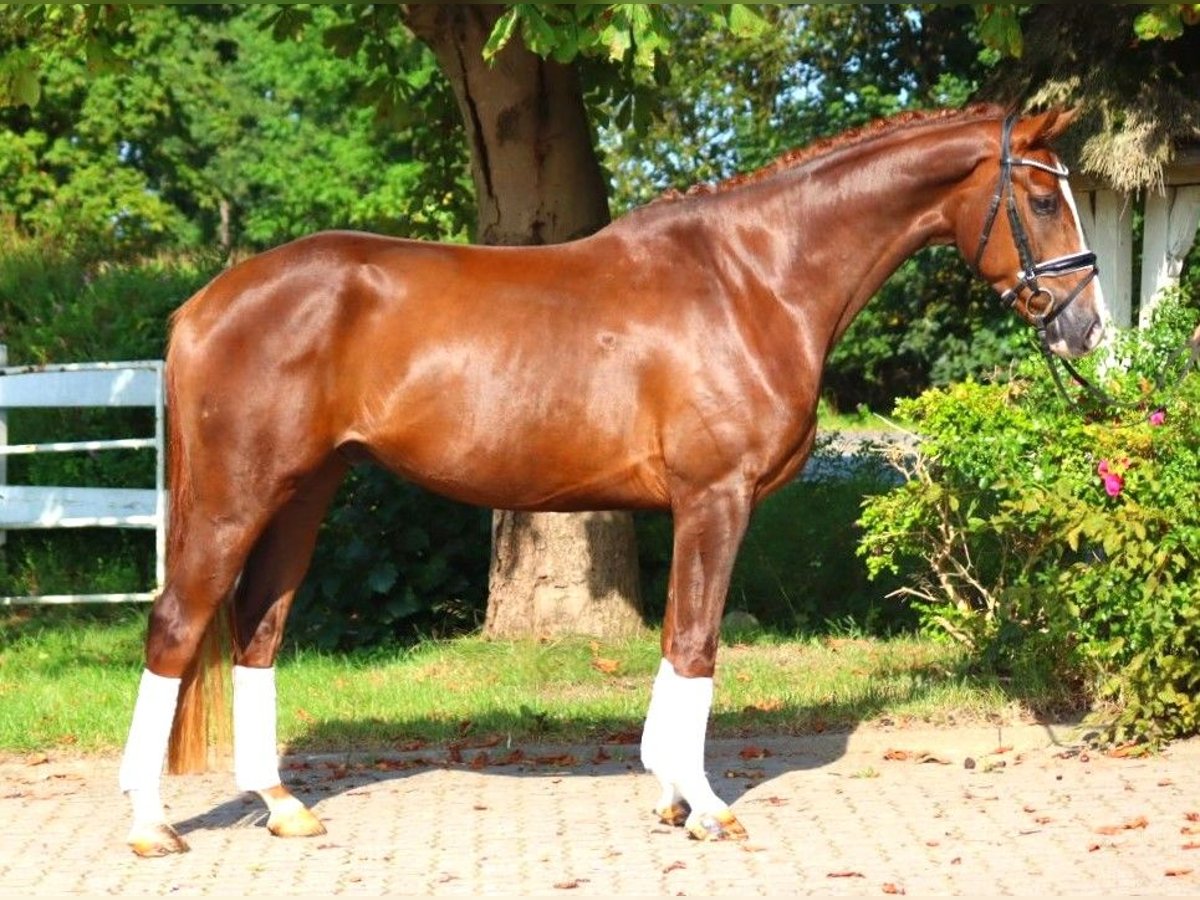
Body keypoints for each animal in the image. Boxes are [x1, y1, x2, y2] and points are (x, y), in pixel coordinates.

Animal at [119, 103, 1104, 854]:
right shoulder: (716, 498)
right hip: (236, 497)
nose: (1085, 326)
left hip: (304, 495)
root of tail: (203, 303)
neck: (754, 279)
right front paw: (706, 807)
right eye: (1042, 196)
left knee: (258, 631)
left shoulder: (696, 507)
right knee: (177, 626)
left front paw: (670, 794)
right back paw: (150, 825)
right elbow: (698, 643)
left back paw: (282, 807)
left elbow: (675, 641)